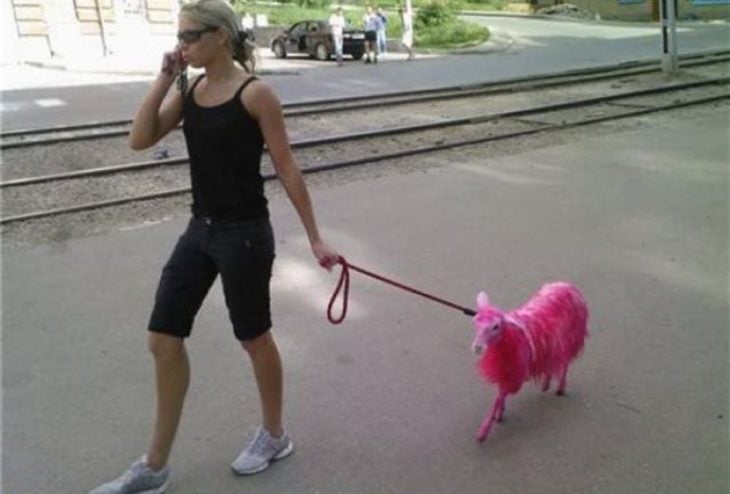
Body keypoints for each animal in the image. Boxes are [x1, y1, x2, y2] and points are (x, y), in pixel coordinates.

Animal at [472, 282, 584, 444]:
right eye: (476, 322)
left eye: (496, 326)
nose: (477, 347)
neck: (511, 338)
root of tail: (566, 285)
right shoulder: (506, 369)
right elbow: (501, 393)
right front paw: (499, 415)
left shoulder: (515, 370)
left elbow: (499, 396)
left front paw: (483, 432)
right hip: (553, 343)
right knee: (554, 360)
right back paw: (546, 383)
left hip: (570, 336)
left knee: (565, 363)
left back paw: (560, 388)